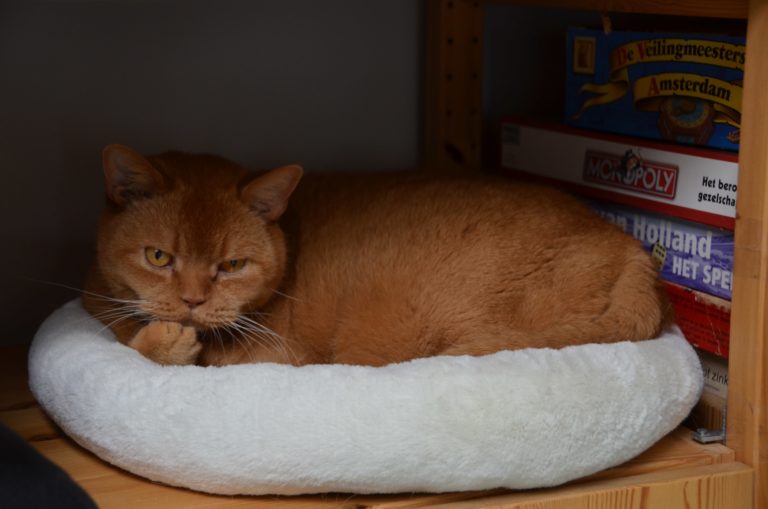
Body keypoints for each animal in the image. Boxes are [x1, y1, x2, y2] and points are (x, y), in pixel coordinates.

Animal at [84, 143, 668, 366]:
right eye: (159, 257)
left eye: (231, 266)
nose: (192, 302)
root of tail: (630, 247)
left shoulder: (272, 359)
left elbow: (146, 349)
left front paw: (165, 340)